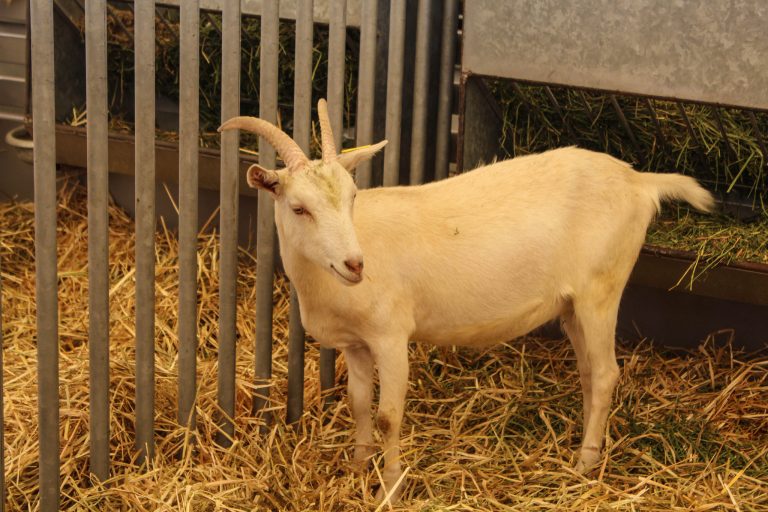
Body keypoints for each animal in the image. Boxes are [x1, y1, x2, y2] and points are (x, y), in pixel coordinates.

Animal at [219, 99, 714, 503]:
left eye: (353, 196)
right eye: (299, 208)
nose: (355, 265)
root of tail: (639, 180)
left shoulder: (391, 336)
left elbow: (388, 415)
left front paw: (389, 487)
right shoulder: (355, 343)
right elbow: (359, 404)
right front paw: (358, 466)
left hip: (601, 289)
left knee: (609, 372)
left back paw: (585, 464)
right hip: (575, 305)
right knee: (592, 373)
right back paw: (583, 447)